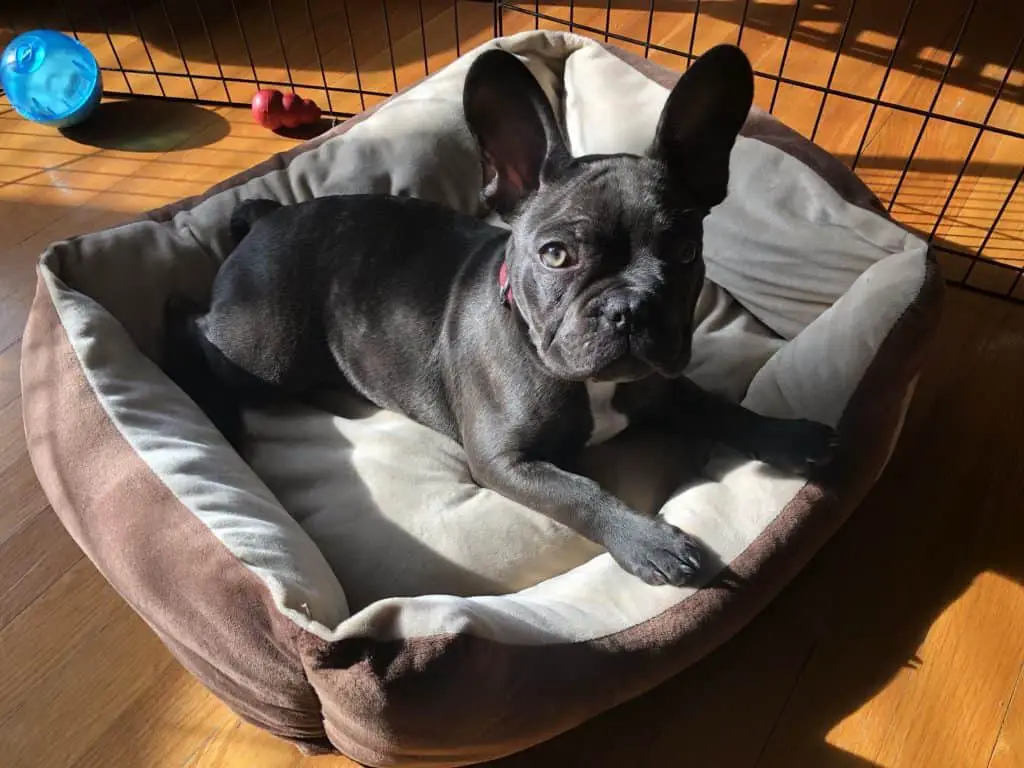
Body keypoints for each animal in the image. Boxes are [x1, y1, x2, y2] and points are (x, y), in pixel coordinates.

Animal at [167, 45, 835, 585]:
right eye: (557, 255)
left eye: (685, 253)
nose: (629, 307)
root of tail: (266, 218)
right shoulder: (505, 462)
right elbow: (579, 494)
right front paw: (649, 542)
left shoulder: (663, 387)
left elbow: (720, 407)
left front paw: (786, 434)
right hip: (266, 351)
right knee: (196, 332)